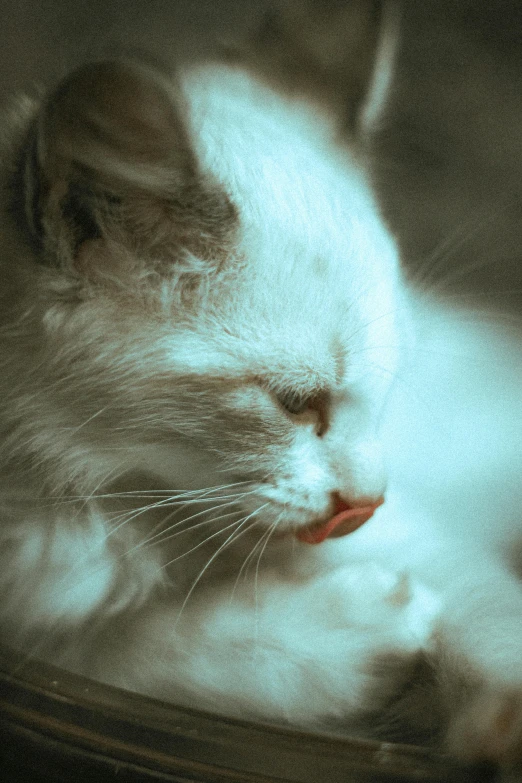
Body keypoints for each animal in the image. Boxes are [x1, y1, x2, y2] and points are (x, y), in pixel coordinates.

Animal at [0, 1, 516, 772]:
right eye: (297, 404)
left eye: (389, 391)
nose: (367, 503)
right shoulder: (44, 649)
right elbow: (140, 653)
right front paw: (364, 634)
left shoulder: (424, 540)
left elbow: (493, 626)